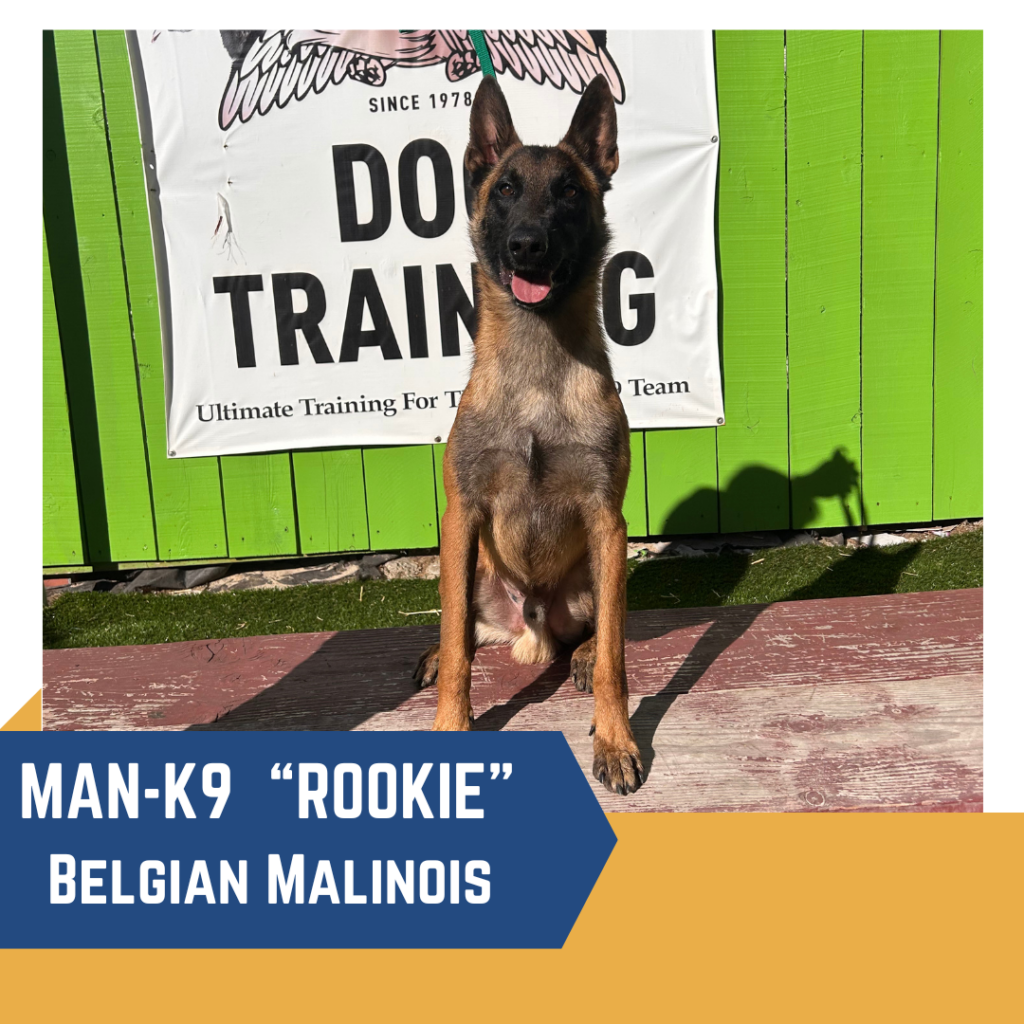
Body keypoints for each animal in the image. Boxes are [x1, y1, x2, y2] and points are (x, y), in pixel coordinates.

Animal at [411, 75, 643, 794]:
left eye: (568, 191)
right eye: (507, 189)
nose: (528, 245)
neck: (539, 370)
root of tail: (531, 621)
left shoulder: (607, 519)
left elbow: (616, 660)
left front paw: (616, 741)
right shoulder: (461, 516)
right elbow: (458, 644)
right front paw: (450, 726)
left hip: (599, 567)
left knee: (603, 632)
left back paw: (581, 651)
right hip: (470, 565)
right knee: (461, 626)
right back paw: (438, 652)